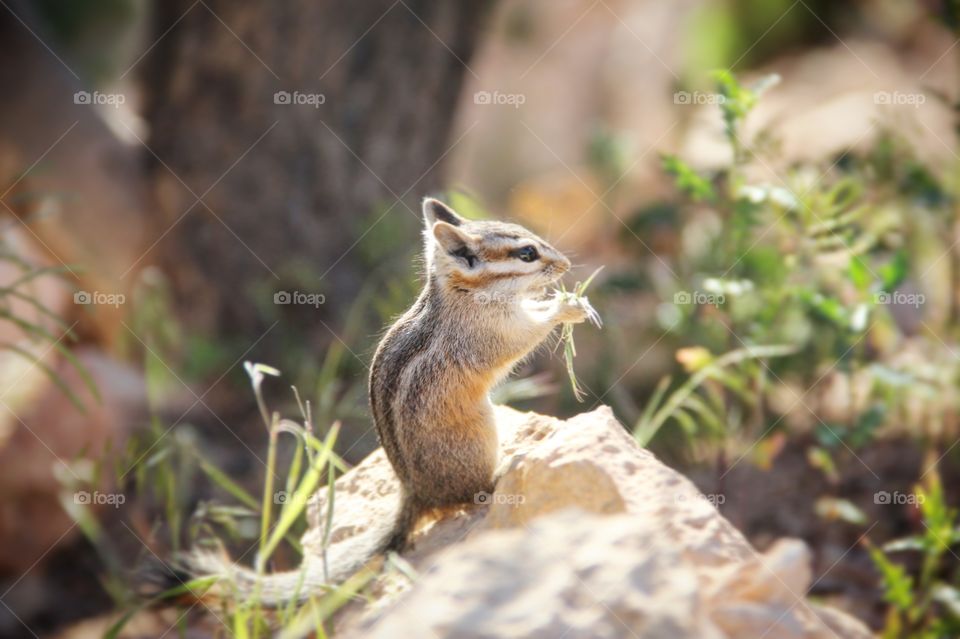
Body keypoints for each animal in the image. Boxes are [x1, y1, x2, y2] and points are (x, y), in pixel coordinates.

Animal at [157, 197, 597, 606]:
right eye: (527, 253)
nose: (564, 265)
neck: (462, 293)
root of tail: (416, 494)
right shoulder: (494, 333)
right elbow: (528, 333)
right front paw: (568, 306)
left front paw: (575, 300)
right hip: (479, 439)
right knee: (473, 494)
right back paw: (504, 467)